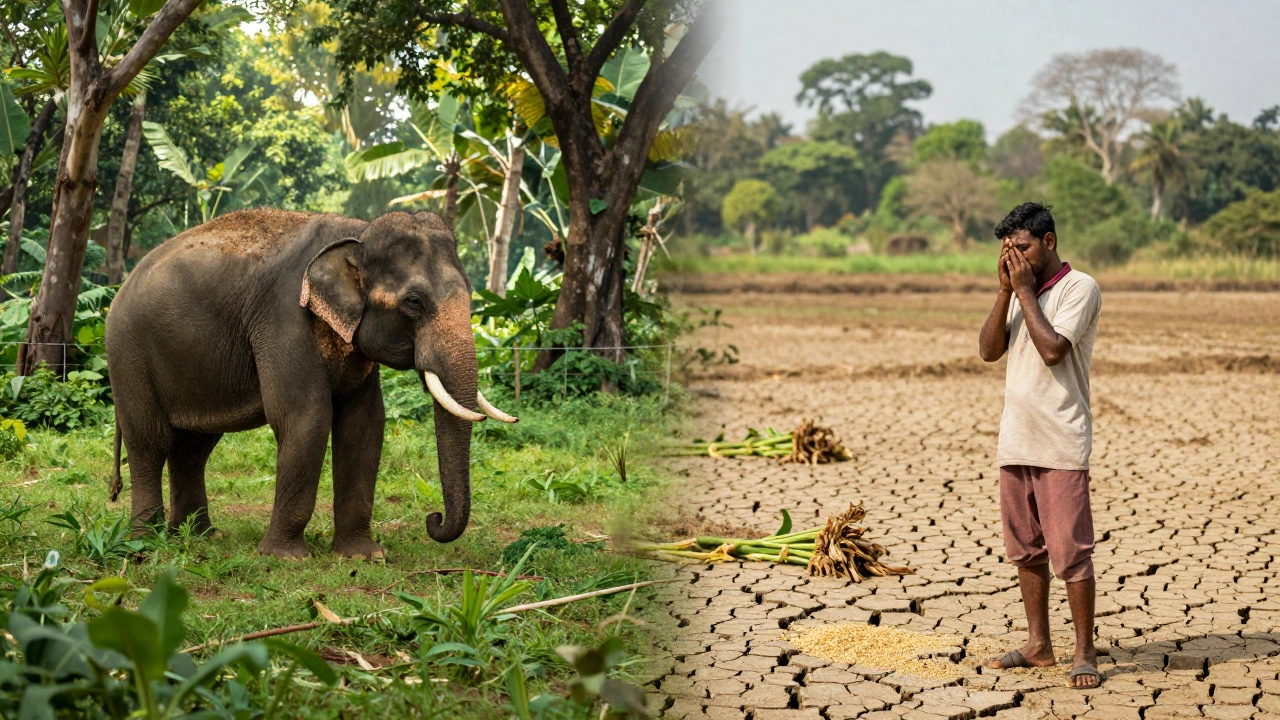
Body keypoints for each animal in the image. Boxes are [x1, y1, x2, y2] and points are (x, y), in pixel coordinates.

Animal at [104, 208, 517, 558]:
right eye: (414, 302)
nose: (433, 518)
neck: (358, 231)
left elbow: (365, 423)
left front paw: (364, 556)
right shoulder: (284, 316)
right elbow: (306, 417)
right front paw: (286, 559)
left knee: (193, 447)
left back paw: (201, 536)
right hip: (128, 355)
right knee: (150, 442)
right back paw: (145, 542)